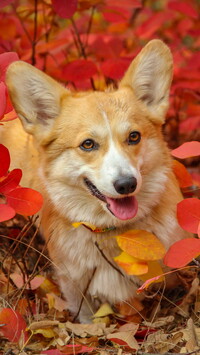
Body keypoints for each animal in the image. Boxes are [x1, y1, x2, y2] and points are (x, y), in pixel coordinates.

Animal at [1, 40, 189, 324]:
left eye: (134, 137)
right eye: (87, 144)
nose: (126, 184)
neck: (111, 231)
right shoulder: (75, 288)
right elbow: (88, 319)